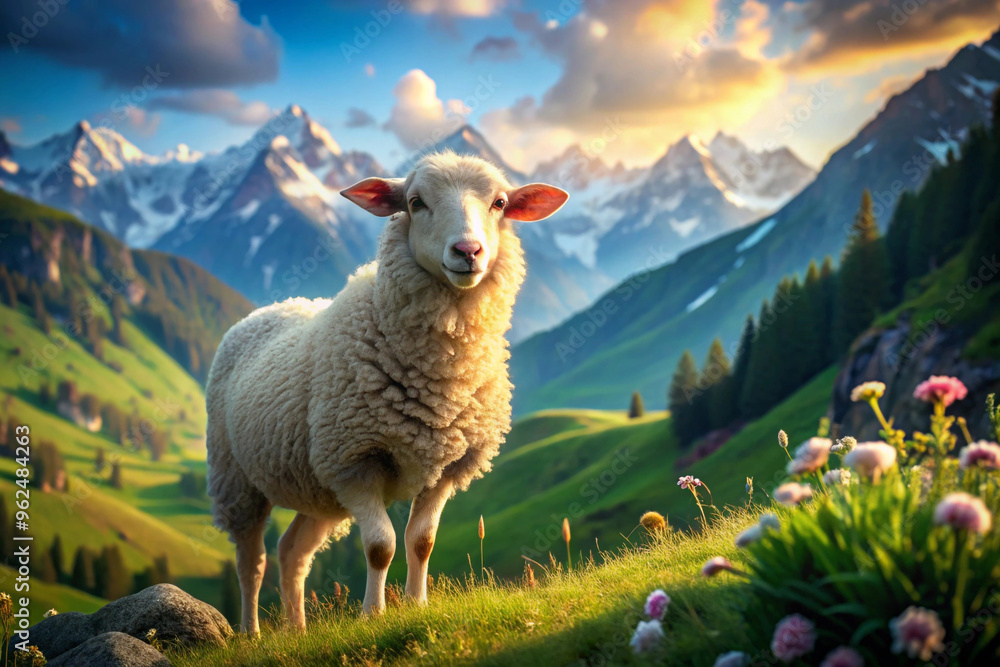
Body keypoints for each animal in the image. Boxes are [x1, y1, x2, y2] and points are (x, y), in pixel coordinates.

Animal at [205, 151, 568, 633]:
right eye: (415, 202)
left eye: (500, 203)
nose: (468, 252)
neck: (439, 376)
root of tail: (269, 308)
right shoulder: (355, 461)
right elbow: (381, 546)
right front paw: (373, 614)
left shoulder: (446, 466)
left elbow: (421, 542)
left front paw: (417, 606)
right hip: (237, 479)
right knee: (252, 561)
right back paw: (252, 633)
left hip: (316, 488)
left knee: (292, 552)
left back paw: (297, 631)